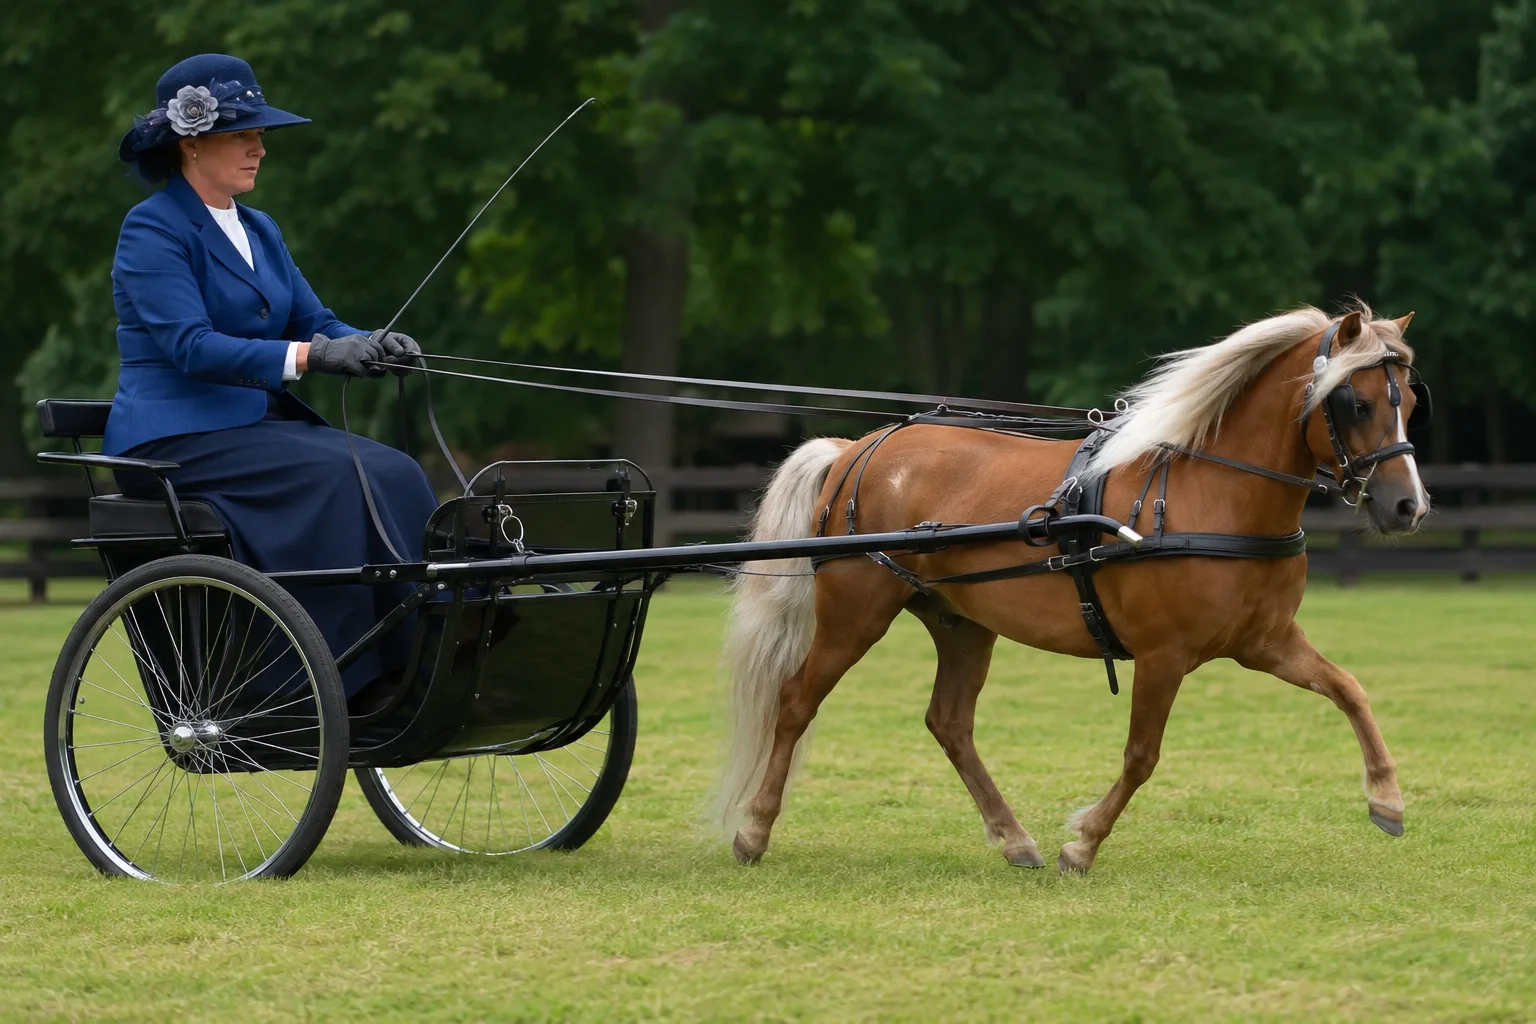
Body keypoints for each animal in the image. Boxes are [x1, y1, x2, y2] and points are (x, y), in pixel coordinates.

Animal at [714, 305, 1427, 874]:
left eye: (1411, 403)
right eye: (1356, 403)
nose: (1408, 507)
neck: (1214, 492)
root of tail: (855, 450)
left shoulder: (1266, 642)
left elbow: (1349, 690)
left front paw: (1387, 799)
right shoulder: (1164, 657)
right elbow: (1142, 755)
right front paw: (1083, 844)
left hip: (959, 621)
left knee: (949, 723)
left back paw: (1013, 839)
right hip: (854, 614)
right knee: (796, 701)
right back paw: (754, 830)